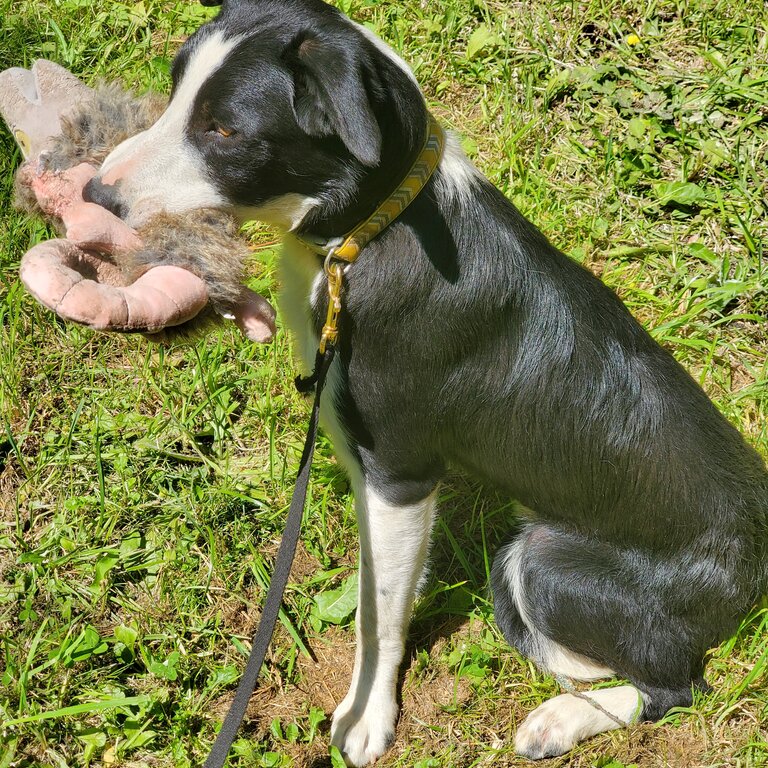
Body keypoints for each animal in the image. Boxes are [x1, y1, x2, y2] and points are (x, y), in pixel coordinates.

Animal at [84, 3, 768, 764]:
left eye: (224, 130)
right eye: (175, 91)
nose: (93, 194)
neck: (366, 233)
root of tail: (757, 551)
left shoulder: (402, 475)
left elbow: (379, 613)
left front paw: (368, 717)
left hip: (542, 561)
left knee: (676, 686)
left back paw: (560, 718)